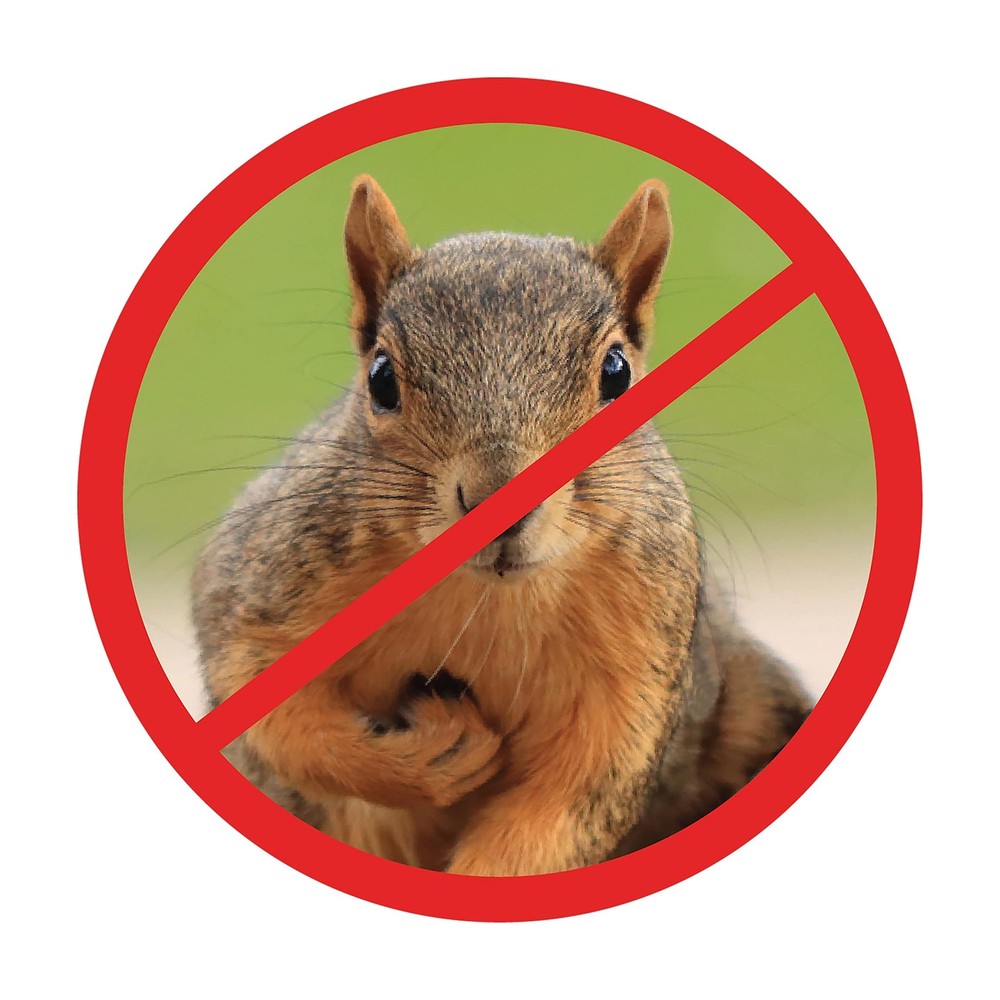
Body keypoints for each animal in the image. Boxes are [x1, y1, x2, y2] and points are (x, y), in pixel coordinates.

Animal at [192, 175, 813, 876]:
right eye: (380, 378)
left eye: (618, 372)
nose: (502, 500)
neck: (486, 598)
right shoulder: (264, 580)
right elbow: (265, 701)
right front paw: (433, 753)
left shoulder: (637, 672)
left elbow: (562, 807)